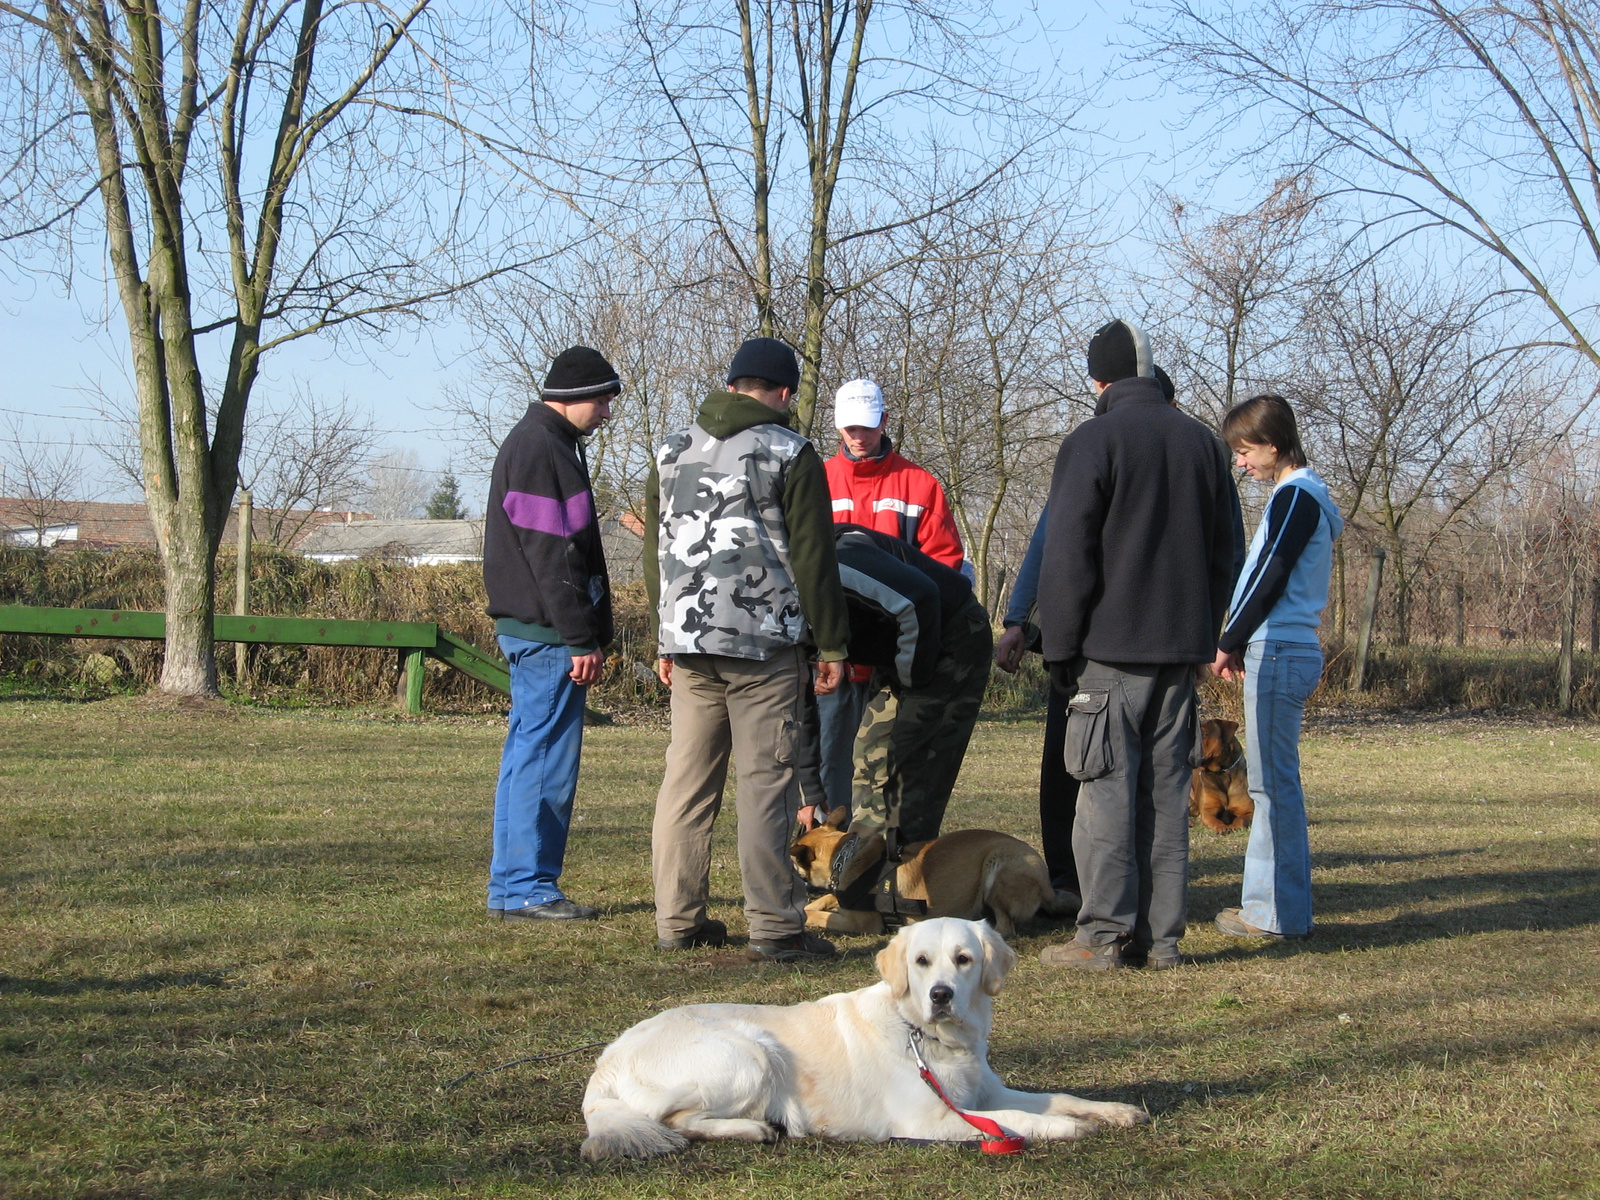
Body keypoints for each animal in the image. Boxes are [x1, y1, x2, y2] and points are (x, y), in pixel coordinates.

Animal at [582, 915, 1145, 1158]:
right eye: (921, 961)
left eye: (964, 959)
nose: (941, 994)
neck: (927, 1035)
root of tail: (605, 1063)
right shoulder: (930, 1119)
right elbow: (1014, 1120)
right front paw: (1067, 1128)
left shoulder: (984, 1093)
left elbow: (1057, 1097)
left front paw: (1115, 1111)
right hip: (752, 1053)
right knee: (674, 1120)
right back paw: (753, 1128)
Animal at [787, 825, 1075, 947]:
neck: (843, 856)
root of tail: (1047, 885)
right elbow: (825, 901)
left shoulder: (862, 922)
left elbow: (819, 916)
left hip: (998, 865)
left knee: (1005, 927)